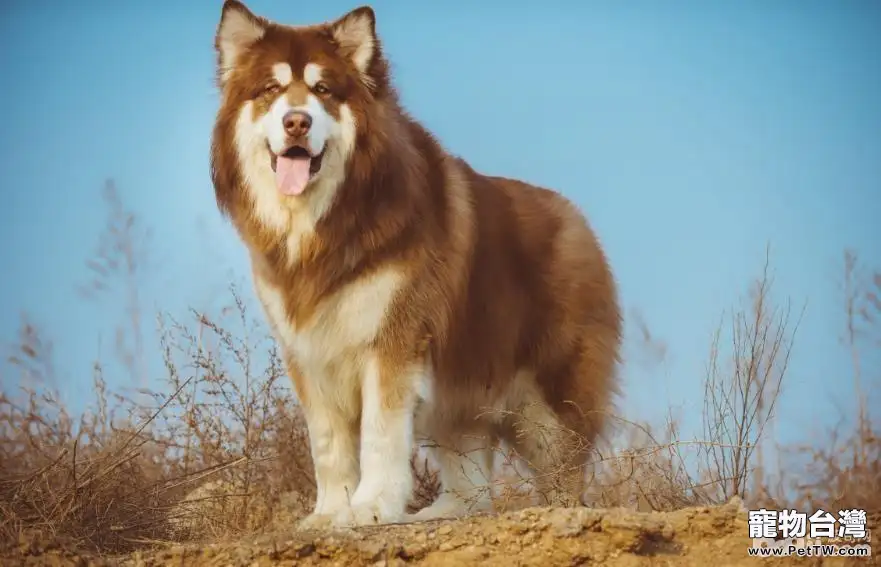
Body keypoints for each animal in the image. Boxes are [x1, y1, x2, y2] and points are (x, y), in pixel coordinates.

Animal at [210, 1, 624, 532]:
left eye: (324, 90)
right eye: (271, 90)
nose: (297, 122)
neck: (327, 224)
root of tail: (577, 220)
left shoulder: (394, 342)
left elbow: (381, 435)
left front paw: (370, 508)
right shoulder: (308, 351)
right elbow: (328, 444)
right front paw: (329, 513)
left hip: (548, 394)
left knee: (563, 461)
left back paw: (560, 509)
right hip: (463, 375)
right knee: (469, 466)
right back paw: (445, 510)